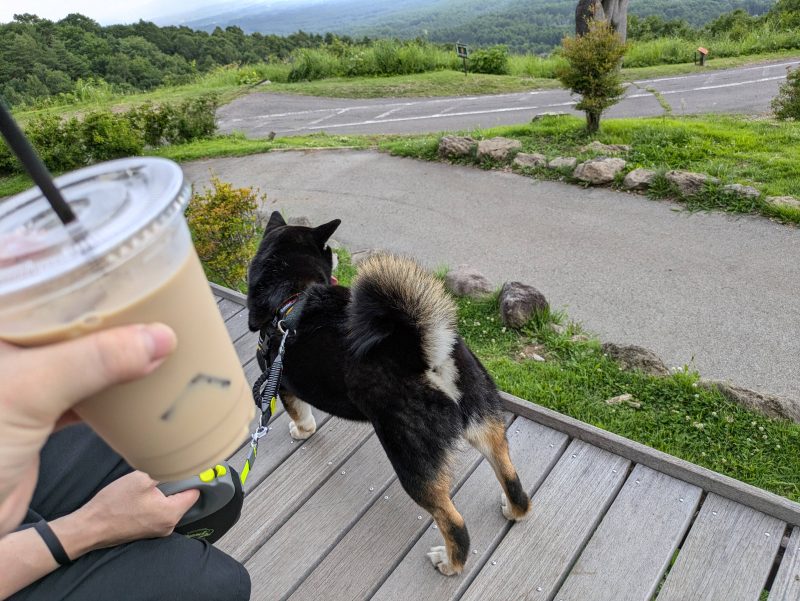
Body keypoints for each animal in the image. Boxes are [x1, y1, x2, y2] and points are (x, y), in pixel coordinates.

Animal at [245, 213, 532, 576]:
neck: (292, 292)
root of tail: (427, 357)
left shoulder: (280, 383)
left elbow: (301, 414)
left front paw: (301, 430)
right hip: (486, 424)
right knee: (510, 477)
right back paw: (515, 509)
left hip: (412, 459)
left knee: (453, 522)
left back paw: (450, 563)